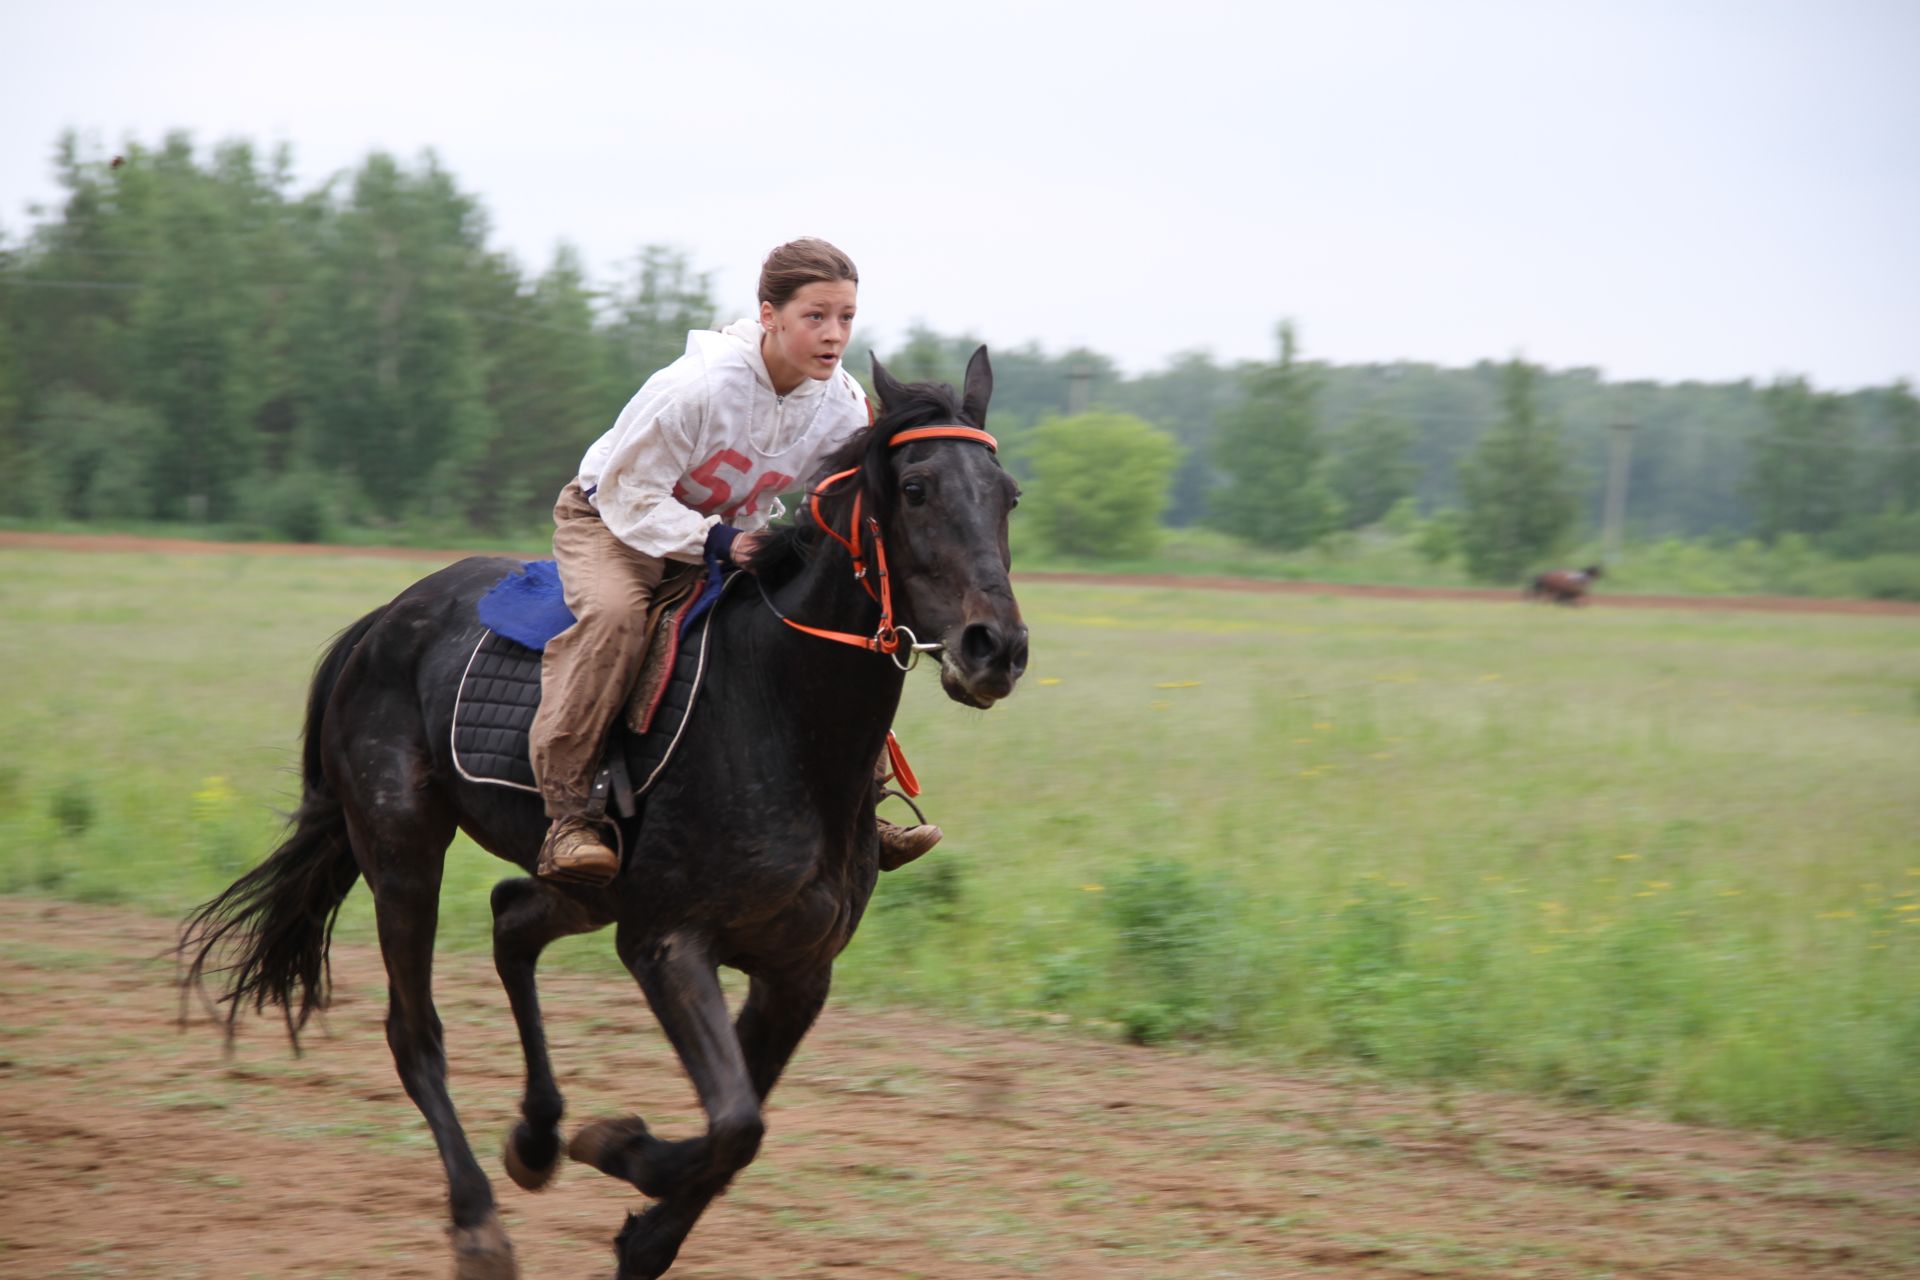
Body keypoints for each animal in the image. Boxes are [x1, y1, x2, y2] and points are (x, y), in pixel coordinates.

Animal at [181, 351, 1029, 1280]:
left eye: (1008, 494)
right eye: (914, 488)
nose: (997, 648)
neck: (783, 716)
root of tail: (381, 623)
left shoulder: (797, 970)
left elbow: (737, 1130)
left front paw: (635, 1209)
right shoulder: (666, 943)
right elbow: (736, 1123)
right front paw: (618, 1143)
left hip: (584, 887)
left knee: (511, 919)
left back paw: (536, 1136)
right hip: (402, 850)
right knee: (415, 1031)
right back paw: (478, 1222)